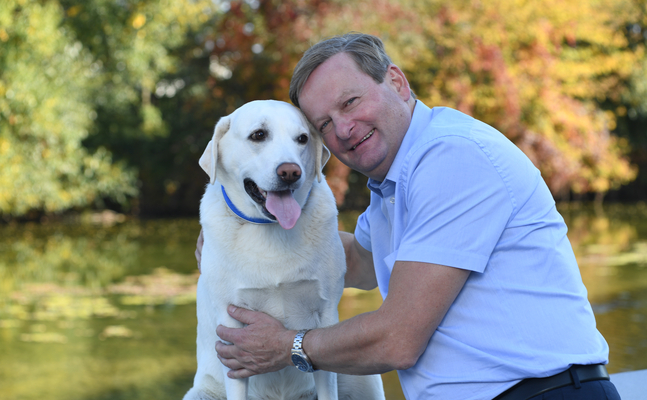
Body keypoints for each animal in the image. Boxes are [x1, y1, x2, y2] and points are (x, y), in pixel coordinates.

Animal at [182, 100, 384, 400]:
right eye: (258, 135)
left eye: (302, 139)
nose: (290, 172)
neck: (271, 228)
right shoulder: (231, 330)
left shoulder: (324, 316)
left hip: (363, 380)